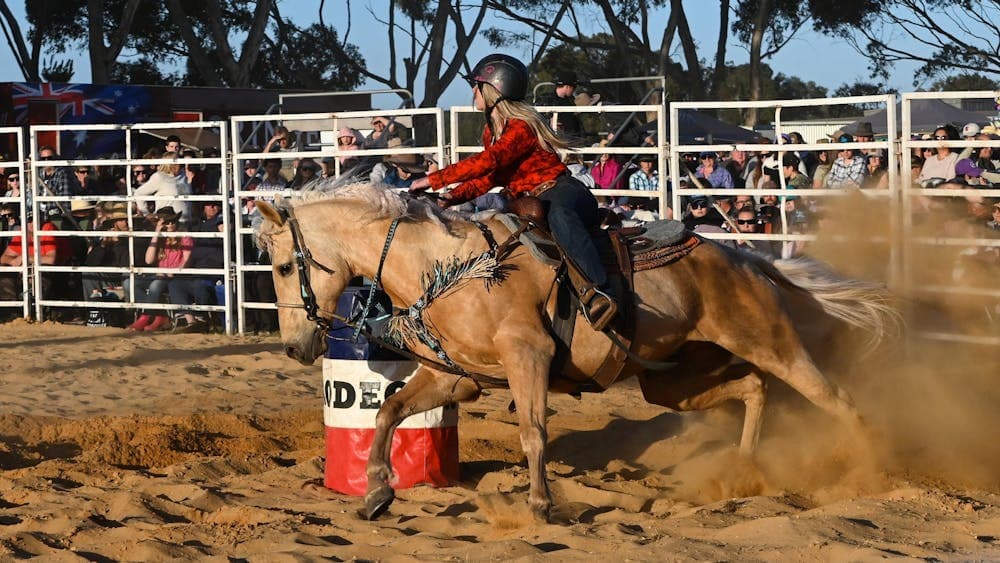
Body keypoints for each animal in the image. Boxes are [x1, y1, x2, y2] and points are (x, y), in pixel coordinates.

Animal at [254, 184, 896, 520]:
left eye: (284, 266)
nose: (295, 346)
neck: (450, 267)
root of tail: (744, 258)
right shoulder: (451, 377)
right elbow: (387, 412)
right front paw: (377, 493)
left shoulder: (528, 358)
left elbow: (534, 433)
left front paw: (541, 503)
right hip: (673, 380)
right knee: (754, 389)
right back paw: (740, 471)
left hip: (770, 341)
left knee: (834, 398)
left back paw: (868, 469)